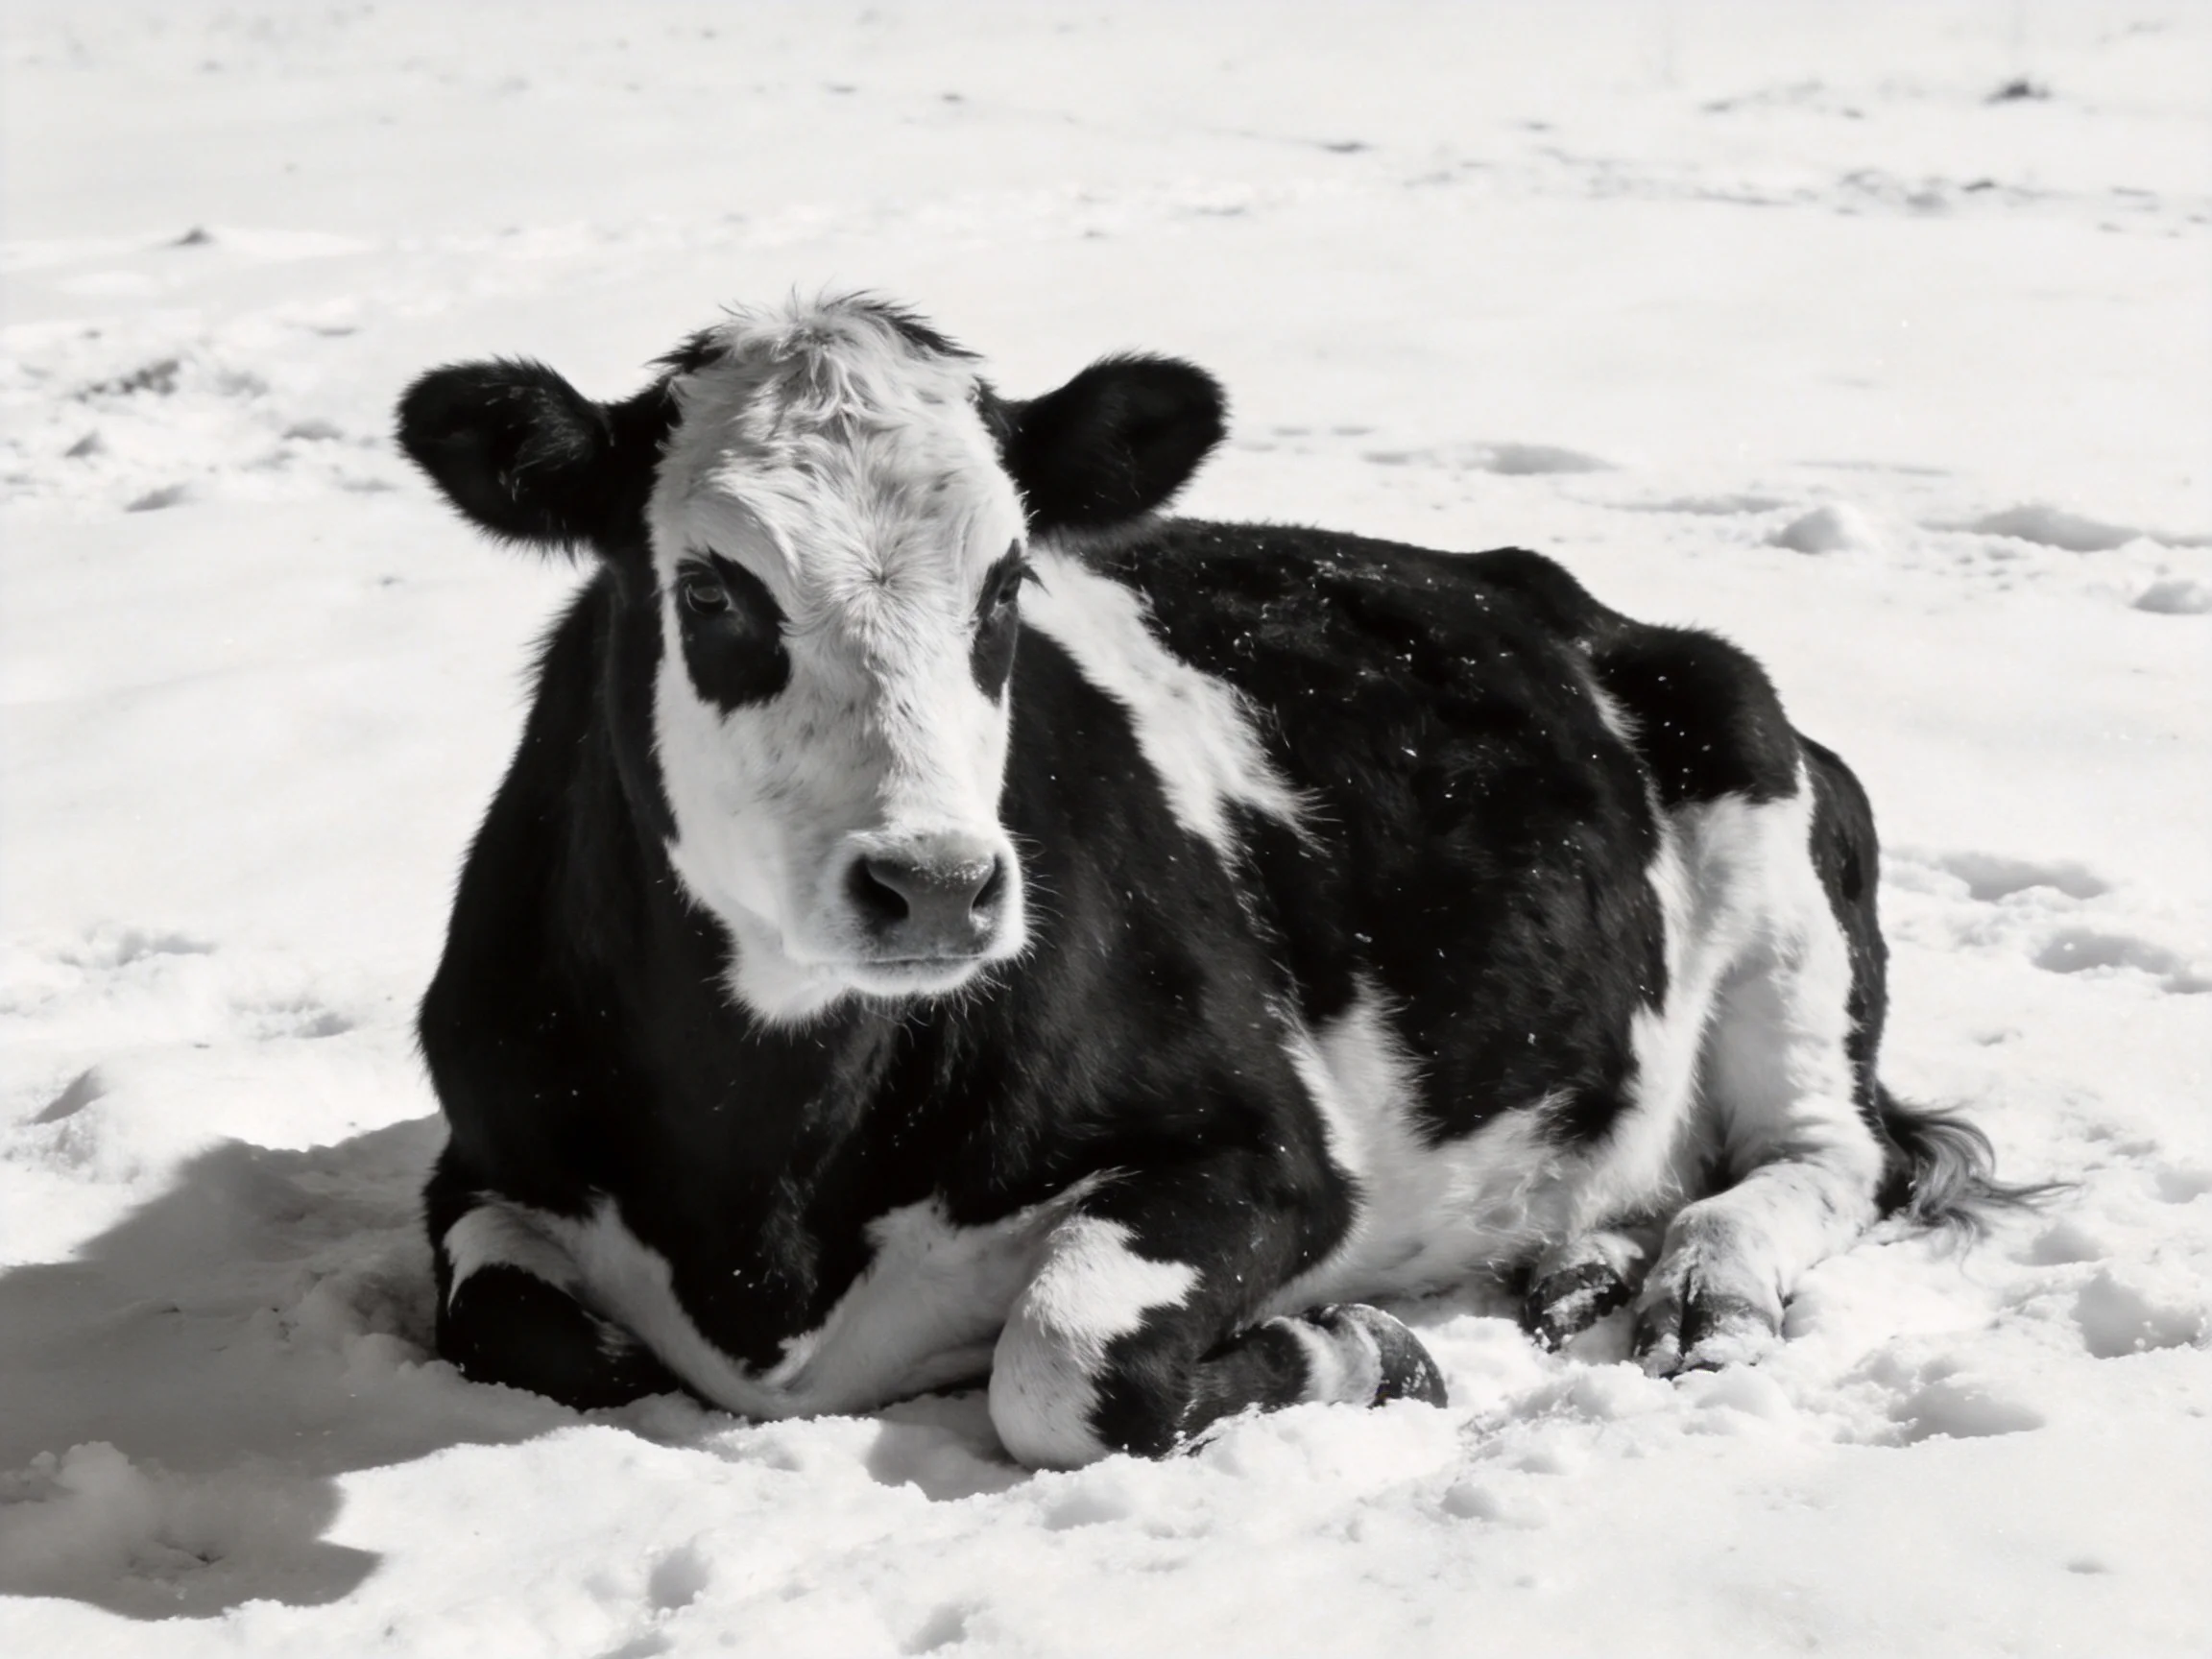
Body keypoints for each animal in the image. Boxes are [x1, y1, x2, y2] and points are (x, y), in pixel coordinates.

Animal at [396, 294, 2019, 1468]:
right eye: (713, 589)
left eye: (1006, 587)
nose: (936, 885)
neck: (764, 1194)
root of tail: (1565, 598)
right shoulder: (481, 1154)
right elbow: (527, 1330)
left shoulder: (1272, 1151)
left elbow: (1061, 1365)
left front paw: (1359, 1348)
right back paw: (1583, 1263)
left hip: (1769, 846)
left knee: (1824, 1159)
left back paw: (1701, 1285)